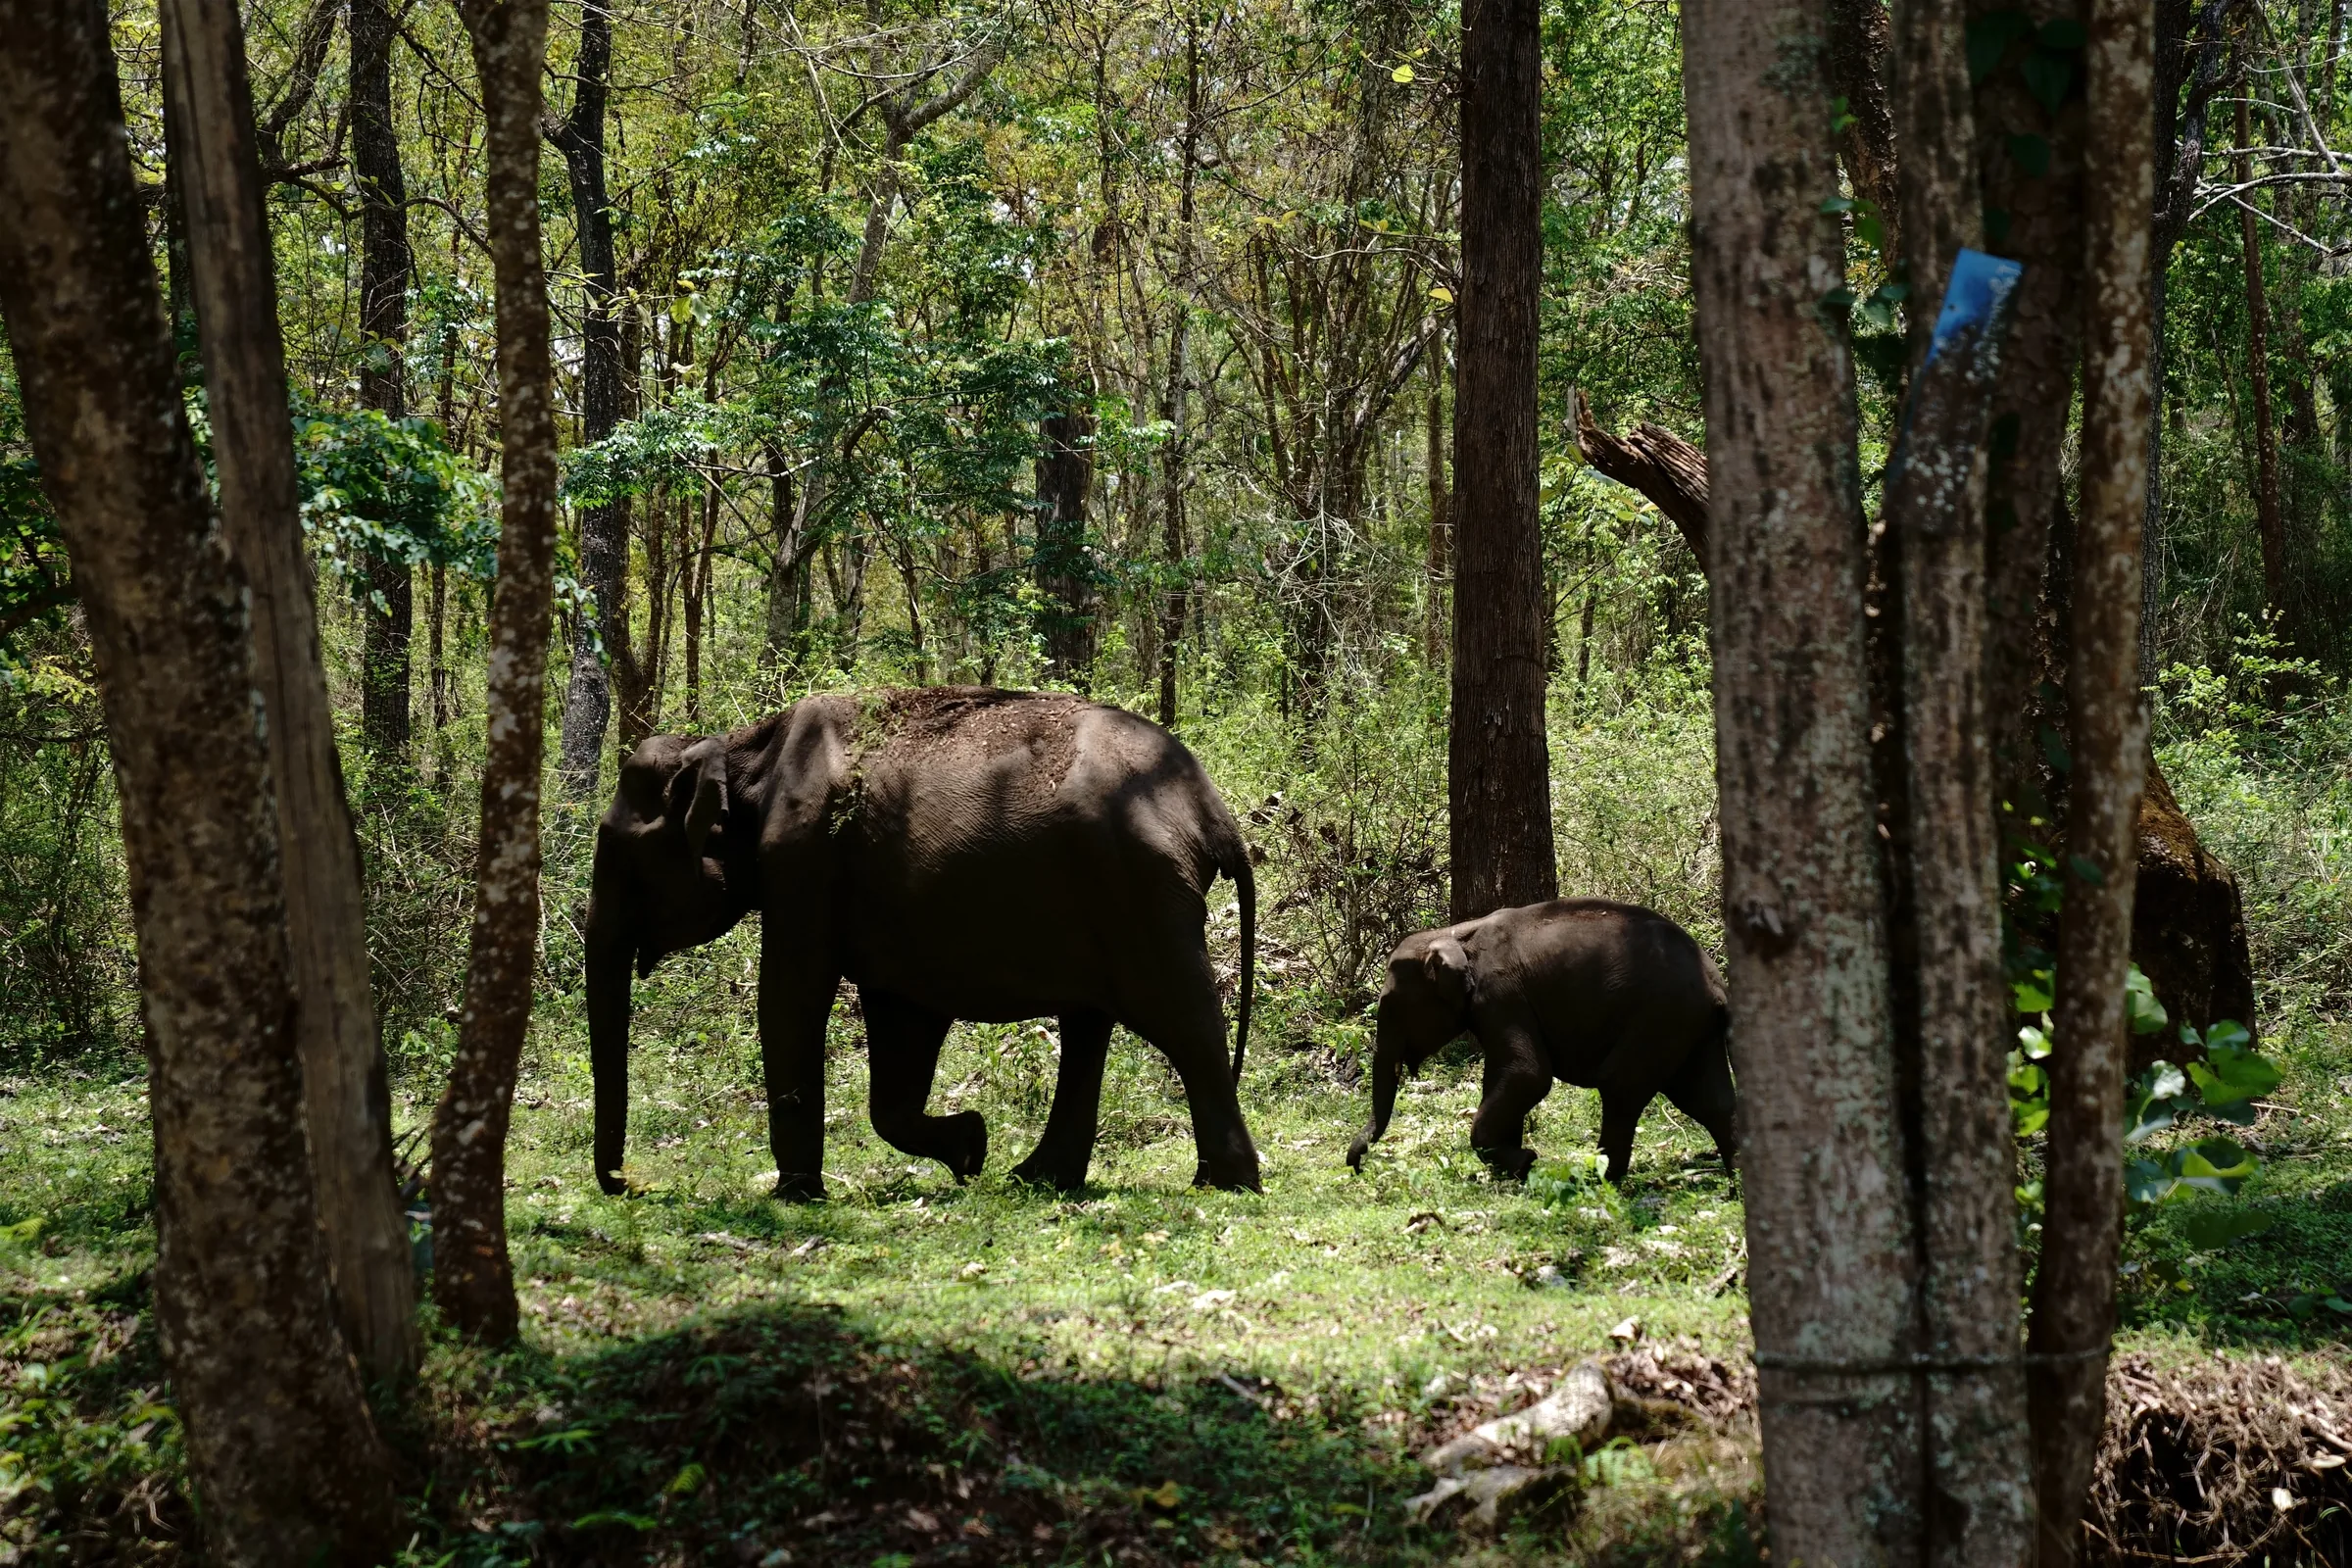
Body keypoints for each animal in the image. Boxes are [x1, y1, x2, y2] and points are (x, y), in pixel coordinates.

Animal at [584, 687, 1262, 1199]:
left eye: (617, 852)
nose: (625, 1185)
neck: (743, 748)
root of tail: (1214, 814)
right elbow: (899, 1021)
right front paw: (970, 1149)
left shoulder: (803, 860)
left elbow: (789, 998)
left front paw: (796, 1194)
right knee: (1090, 1025)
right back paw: (1035, 1179)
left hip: (1142, 893)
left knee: (1183, 1020)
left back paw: (1226, 1184)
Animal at [1344, 899, 1735, 1185]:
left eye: (1389, 1005)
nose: (1357, 1164)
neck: (1455, 934)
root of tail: (1718, 984)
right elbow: (1502, 1076)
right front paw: (1511, 1166)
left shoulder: (1501, 994)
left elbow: (1527, 1074)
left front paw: (1526, 1161)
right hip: (1689, 1026)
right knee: (1708, 1099)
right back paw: (1736, 1184)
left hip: (1660, 1017)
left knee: (1621, 1085)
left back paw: (1596, 1178)